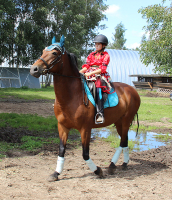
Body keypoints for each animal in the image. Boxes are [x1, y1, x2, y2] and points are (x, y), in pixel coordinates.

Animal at [29, 36, 140, 181]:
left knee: (122, 142)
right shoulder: (62, 126)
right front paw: (56, 173)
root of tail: (132, 90)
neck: (71, 96)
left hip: (126, 120)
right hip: (118, 122)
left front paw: (98, 171)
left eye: (54, 53)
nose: (34, 69)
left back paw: (112, 165)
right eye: (43, 51)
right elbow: (61, 150)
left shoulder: (85, 129)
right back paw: (122, 164)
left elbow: (85, 154)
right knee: (125, 140)